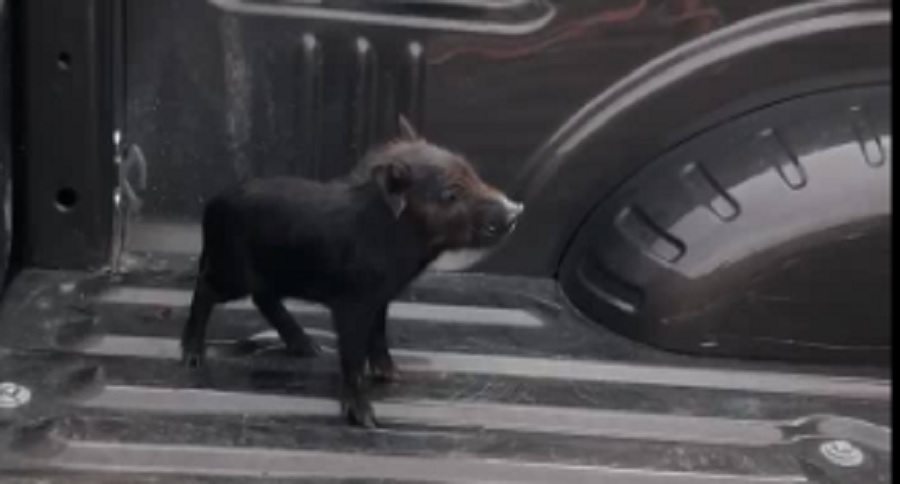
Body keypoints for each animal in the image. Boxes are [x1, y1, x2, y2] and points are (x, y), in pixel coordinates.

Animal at [180, 116, 524, 427]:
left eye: (473, 173)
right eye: (450, 194)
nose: (516, 210)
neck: (397, 240)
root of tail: (213, 204)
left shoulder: (380, 297)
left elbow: (379, 335)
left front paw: (393, 377)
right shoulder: (351, 301)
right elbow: (352, 354)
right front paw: (366, 420)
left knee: (263, 298)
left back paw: (311, 349)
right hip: (230, 268)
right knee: (206, 288)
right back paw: (192, 359)